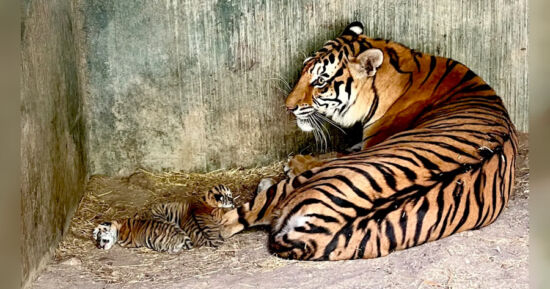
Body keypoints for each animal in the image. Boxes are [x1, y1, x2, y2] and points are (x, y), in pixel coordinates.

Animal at [220, 21, 516, 260]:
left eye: (320, 81)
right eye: (304, 70)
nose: (288, 107)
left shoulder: (368, 144)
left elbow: (336, 152)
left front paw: (294, 161)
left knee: (233, 219)